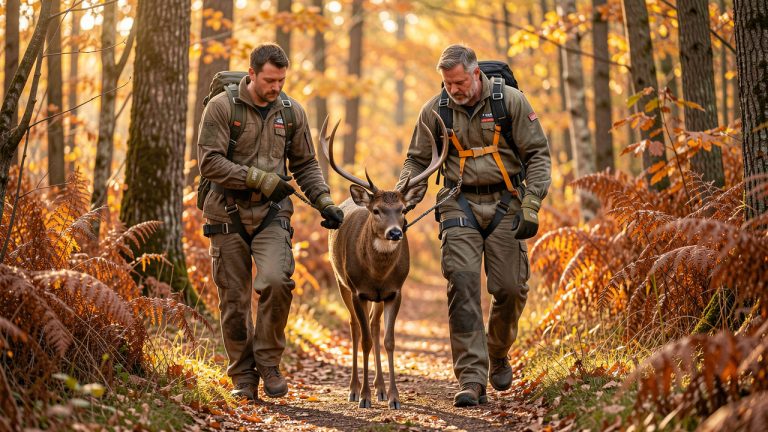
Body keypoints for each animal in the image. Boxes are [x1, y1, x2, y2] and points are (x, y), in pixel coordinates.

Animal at [319, 114, 448, 409]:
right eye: (377, 210)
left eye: (402, 210)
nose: (395, 232)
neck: (377, 273)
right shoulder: (358, 290)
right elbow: (365, 340)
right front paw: (364, 396)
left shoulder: (394, 291)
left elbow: (389, 340)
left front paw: (394, 397)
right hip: (341, 281)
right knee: (356, 327)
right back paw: (355, 389)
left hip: (376, 297)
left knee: (375, 326)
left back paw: (379, 388)